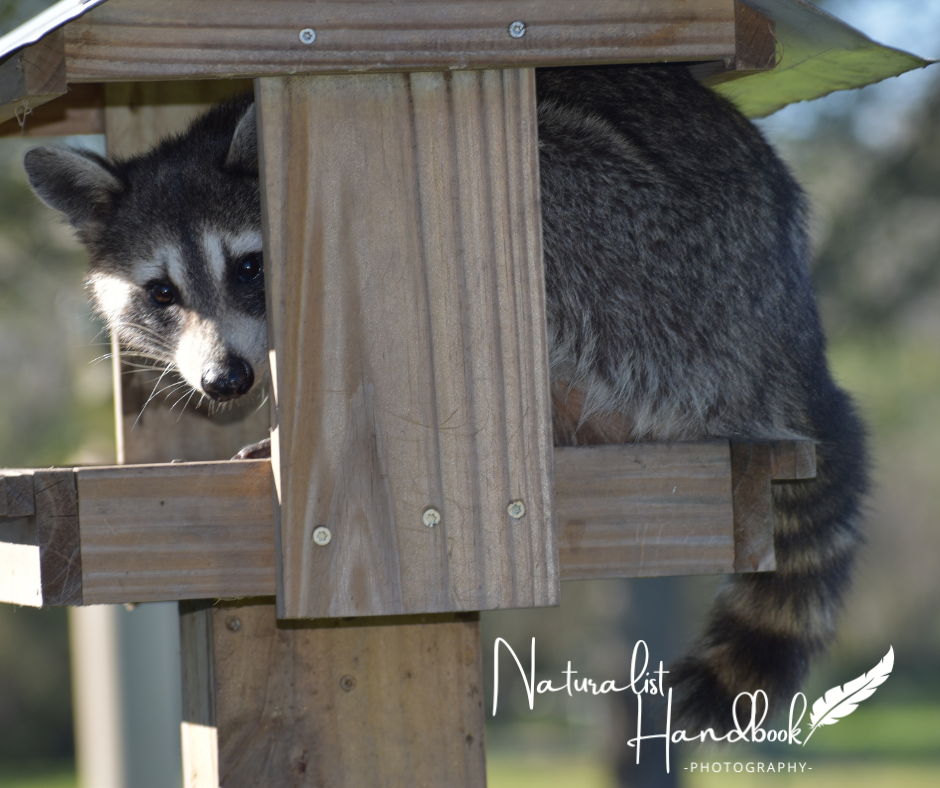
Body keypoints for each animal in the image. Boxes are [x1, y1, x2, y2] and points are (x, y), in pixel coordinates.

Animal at [24, 65, 868, 733]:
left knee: (540, 171)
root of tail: (789, 332)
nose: (225, 380)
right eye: (160, 293)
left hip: (670, 270)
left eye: (249, 268)